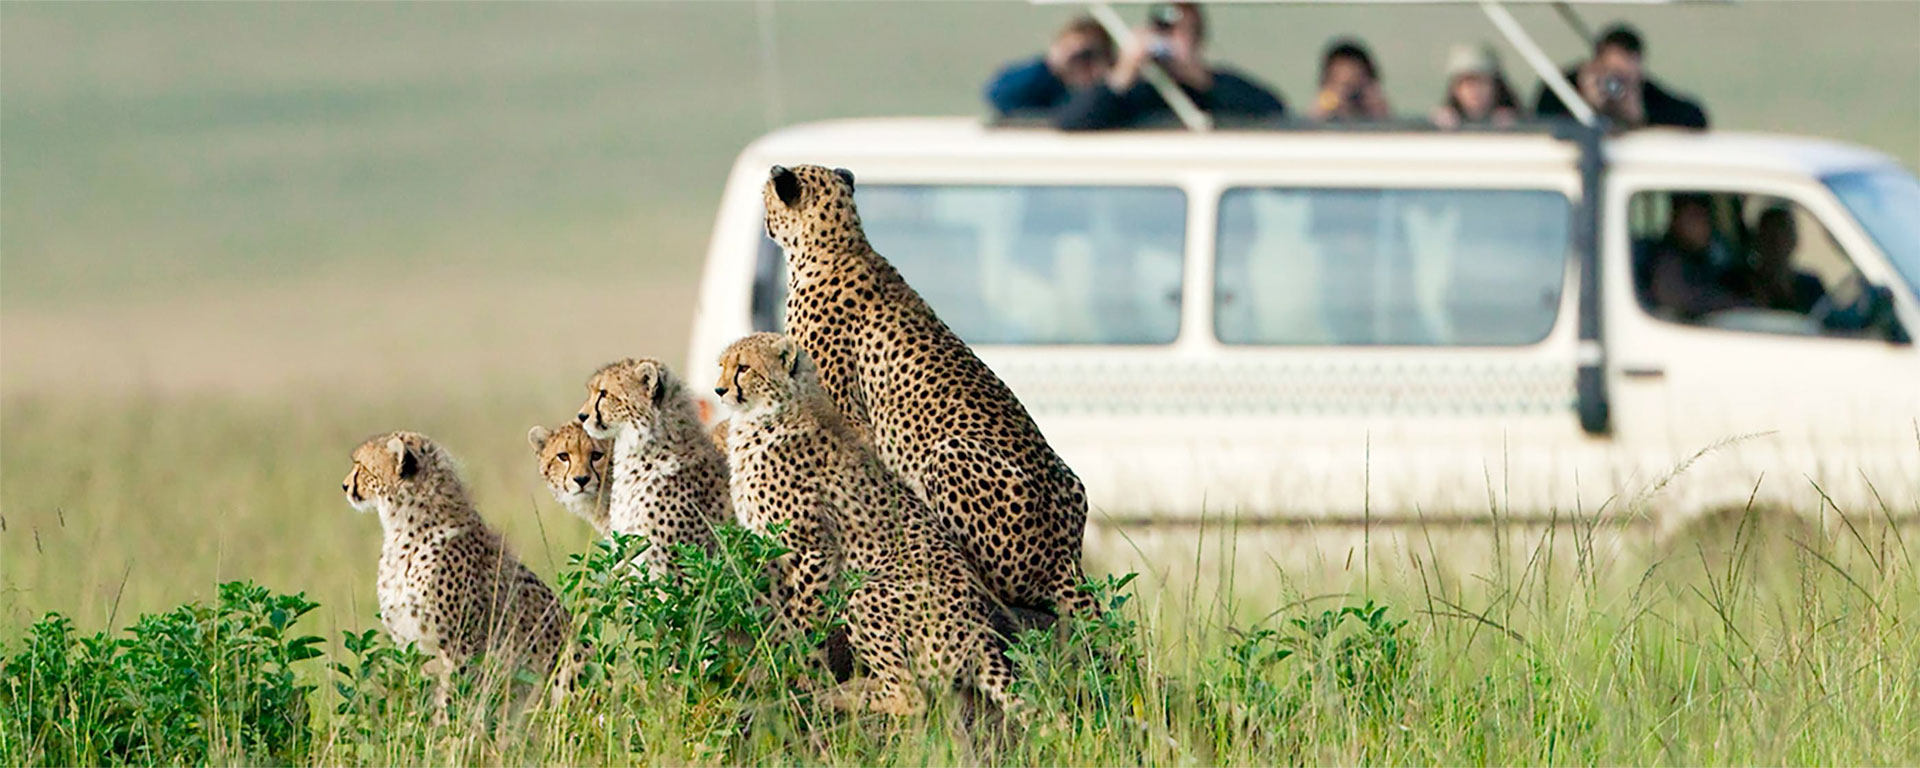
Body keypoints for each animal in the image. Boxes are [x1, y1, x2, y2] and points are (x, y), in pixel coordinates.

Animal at [341, 432, 576, 714]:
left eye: (362, 467)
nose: (344, 485)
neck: (404, 528)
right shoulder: (410, 646)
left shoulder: (459, 644)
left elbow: (451, 696)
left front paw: (445, 725)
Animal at [714, 332, 1029, 718]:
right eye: (723, 366)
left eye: (743, 368)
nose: (718, 389)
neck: (770, 413)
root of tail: (981, 635)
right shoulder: (772, 551)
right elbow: (778, 615)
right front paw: (769, 664)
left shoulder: (815, 549)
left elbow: (804, 618)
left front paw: (802, 672)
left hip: (866, 592)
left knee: (911, 698)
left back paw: (839, 695)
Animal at [760, 163, 1098, 618]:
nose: (763, 217)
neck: (837, 241)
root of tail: (1067, 553)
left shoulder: (843, 407)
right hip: (1073, 483)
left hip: (948, 454)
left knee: (1011, 591)